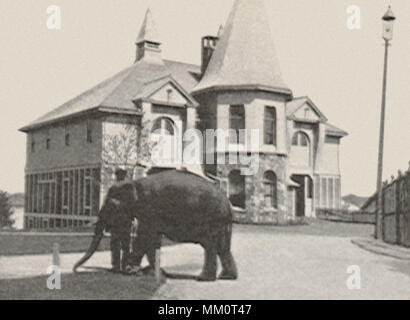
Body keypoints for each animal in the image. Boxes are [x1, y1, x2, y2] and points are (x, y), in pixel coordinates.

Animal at [74, 169, 237, 282]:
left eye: (111, 205)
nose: (75, 269)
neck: (134, 183)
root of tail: (228, 204)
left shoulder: (149, 208)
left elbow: (145, 236)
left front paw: (132, 270)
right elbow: (152, 240)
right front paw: (153, 271)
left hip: (212, 219)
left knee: (210, 246)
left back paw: (203, 278)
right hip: (221, 223)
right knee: (223, 247)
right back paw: (227, 277)